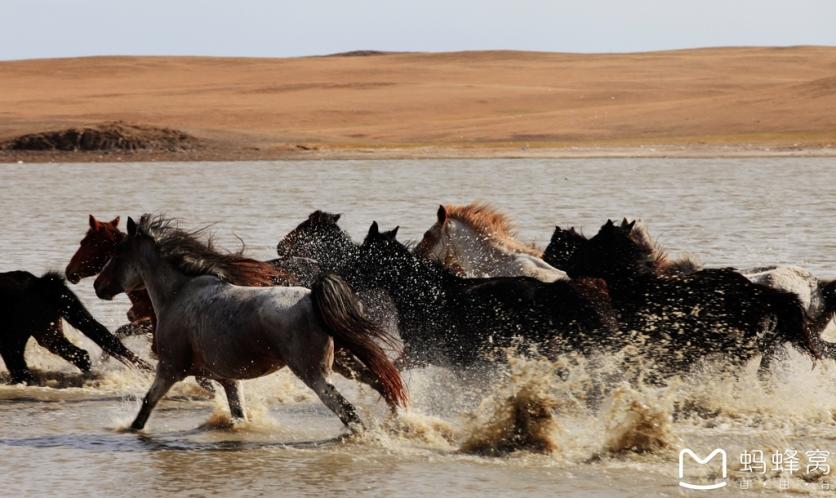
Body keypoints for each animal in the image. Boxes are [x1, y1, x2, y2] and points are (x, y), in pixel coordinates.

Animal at [93, 214, 406, 432]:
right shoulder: (228, 379)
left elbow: (146, 406)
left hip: (315, 374)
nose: (98, 286)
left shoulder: (170, 369)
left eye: (117, 255)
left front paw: (130, 430)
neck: (179, 293)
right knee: (380, 383)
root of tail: (313, 299)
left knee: (348, 410)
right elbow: (238, 413)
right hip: (342, 362)